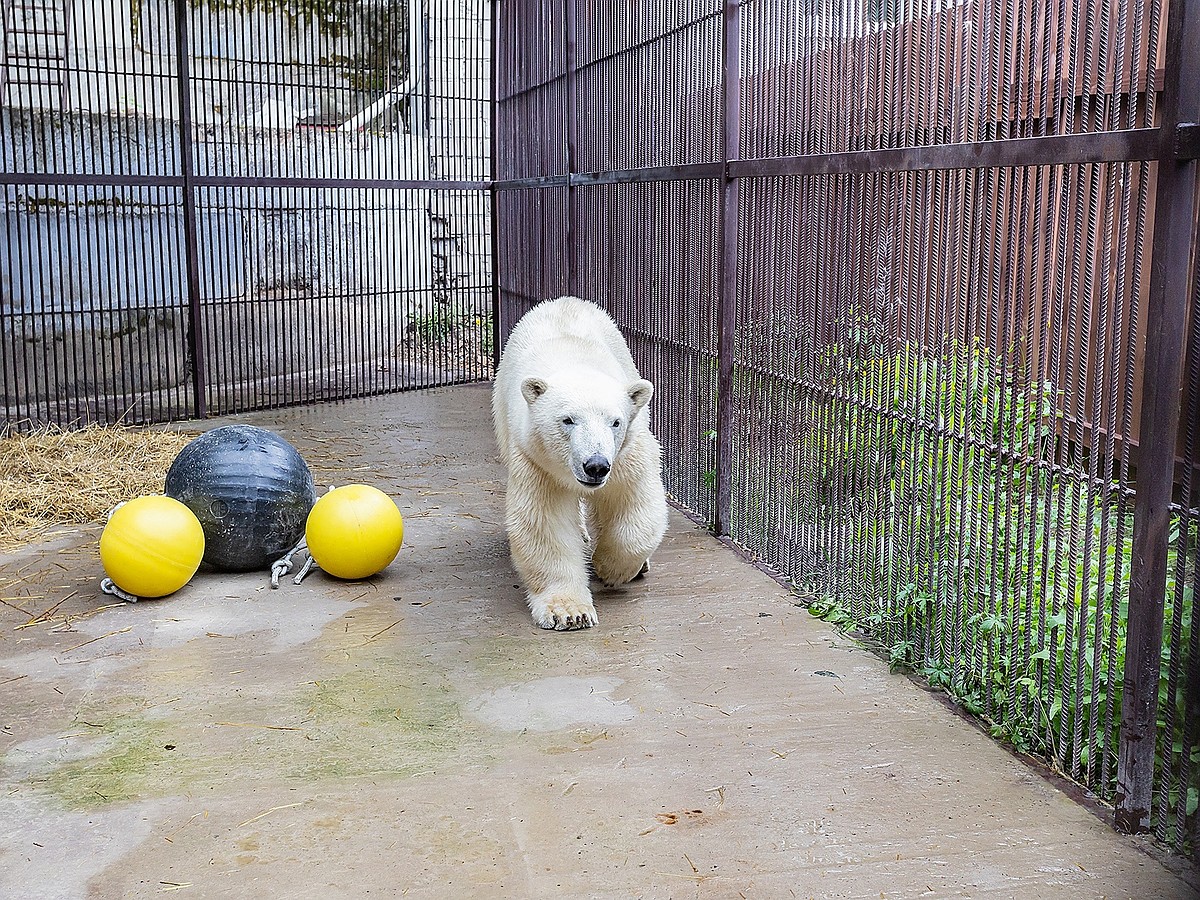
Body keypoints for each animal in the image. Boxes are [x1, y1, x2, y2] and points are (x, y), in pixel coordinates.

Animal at [492, 300, 672, 628]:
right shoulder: (536, 460)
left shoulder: (627, 454)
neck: (574, 360)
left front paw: (609, 567)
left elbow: (634, 503)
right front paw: (569, 612)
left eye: (615, 422)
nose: (596, 465)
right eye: (568, 420)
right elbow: (546, 522)